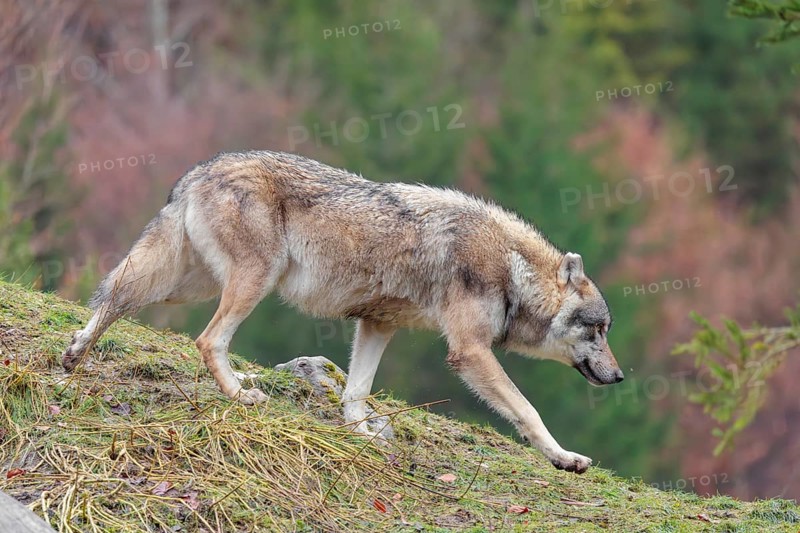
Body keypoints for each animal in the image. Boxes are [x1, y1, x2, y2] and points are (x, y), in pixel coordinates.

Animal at [62, 150, 623, 473]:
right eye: (598, 330)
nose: (619, 377)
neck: (511, 268)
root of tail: (201, 169)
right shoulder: (469, 351)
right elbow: (528, 410)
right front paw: (565, 457)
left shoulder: (378, 323)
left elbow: (355, 393)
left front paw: (360, 434)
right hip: (250, 283)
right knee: (207, 340)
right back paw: (242, 395)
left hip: (183, 287)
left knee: (114, 296)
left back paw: (73, 357)